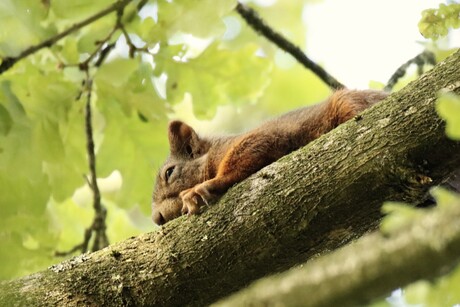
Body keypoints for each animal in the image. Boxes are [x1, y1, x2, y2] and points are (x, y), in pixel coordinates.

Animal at [152, 89, 388, 226]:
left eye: (169, 172)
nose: (157, 218)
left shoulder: (258, 138)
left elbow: (247, 153)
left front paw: (206, 186)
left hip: (346, 101)